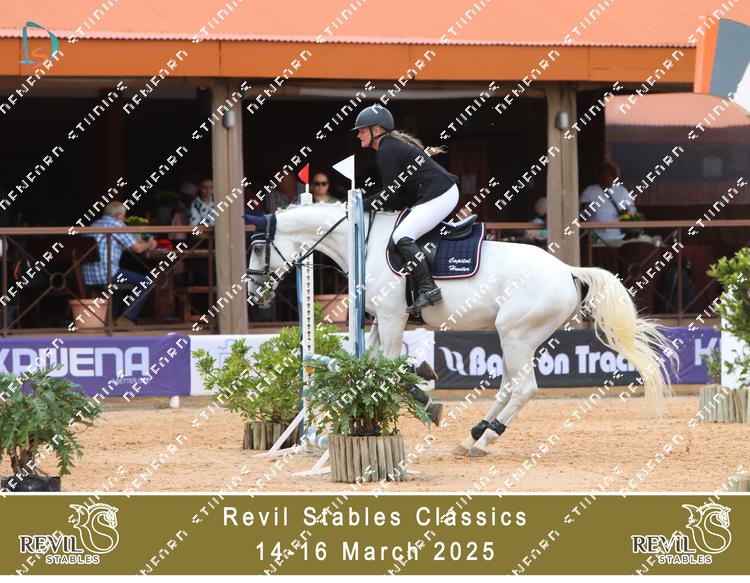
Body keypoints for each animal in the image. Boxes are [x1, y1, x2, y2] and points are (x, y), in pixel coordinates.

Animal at [246, 202, 677, 457]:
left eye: (257, 248)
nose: (254, 295)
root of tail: (568, 271)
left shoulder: (392, 316)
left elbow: (386, 368)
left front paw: (427, 401)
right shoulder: (379, 320)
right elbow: (371, 364)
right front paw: (420, 378)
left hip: (515, 333)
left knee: (524, 387)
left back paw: (486, 439)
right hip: (521, 337)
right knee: (509, 386)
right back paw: (475, 432)